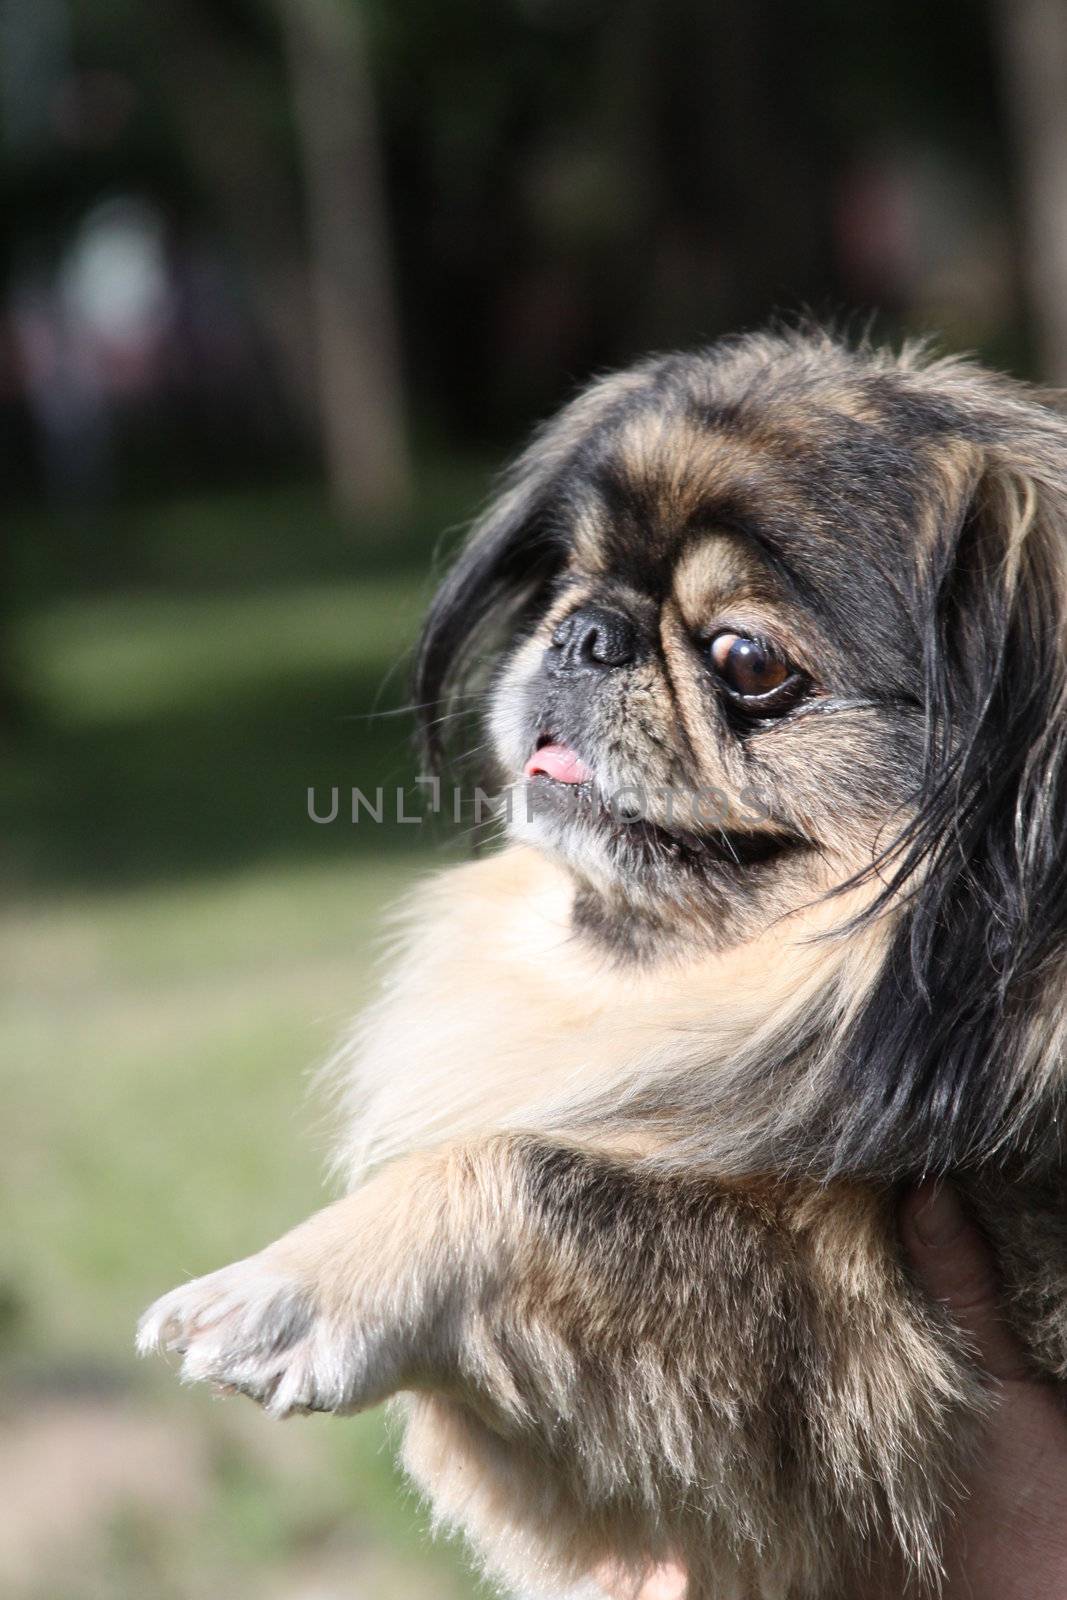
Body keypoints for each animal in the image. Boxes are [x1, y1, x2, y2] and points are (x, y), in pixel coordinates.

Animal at [137, 328, 1067, 1600]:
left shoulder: (861, 1338)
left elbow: (530, 1169)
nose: (586, 630)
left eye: (746, 659)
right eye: (569, 584)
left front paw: (288, 1288)